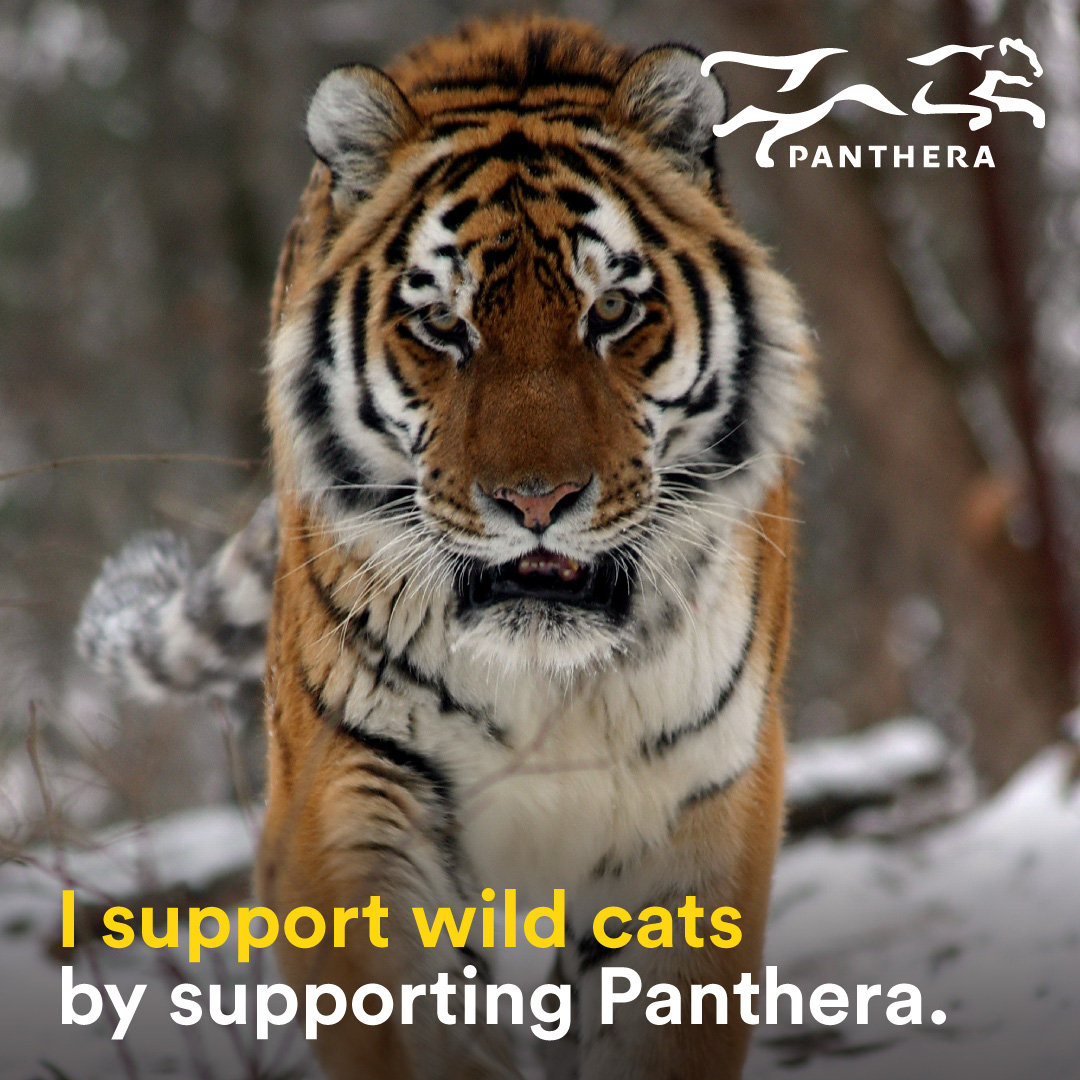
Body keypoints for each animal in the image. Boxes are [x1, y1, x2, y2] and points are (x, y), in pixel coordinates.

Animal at [77, 16, 816, 1080]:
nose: (536, 500)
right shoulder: (353, 786)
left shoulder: (701, 797)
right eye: (441, 323)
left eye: (610, 312)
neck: (551, 680)